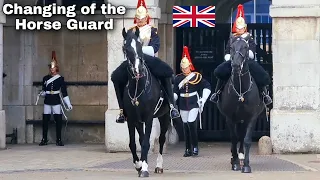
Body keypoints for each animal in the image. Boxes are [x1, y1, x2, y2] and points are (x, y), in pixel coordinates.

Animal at [121, 27, 171, 177]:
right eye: (126, 48)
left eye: (140, 46)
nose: (138, 70)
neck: (138, 87)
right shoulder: (132, 118)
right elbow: (135, 142)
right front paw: (139, 164)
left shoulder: (149, 117)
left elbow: (146, 143)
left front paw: (144, 168)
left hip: (165, 116)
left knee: (161, 139)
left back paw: (159, 165)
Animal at [218, 34, 264, 173]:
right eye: (231, 48)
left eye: (245, 47)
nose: (236, 66)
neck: (241, 90)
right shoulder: (230, 117)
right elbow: (233, 139)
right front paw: (235, 163)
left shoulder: (252, 117)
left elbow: (247, 139)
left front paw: (247, 166)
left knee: (242, 136)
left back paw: (242, 156)